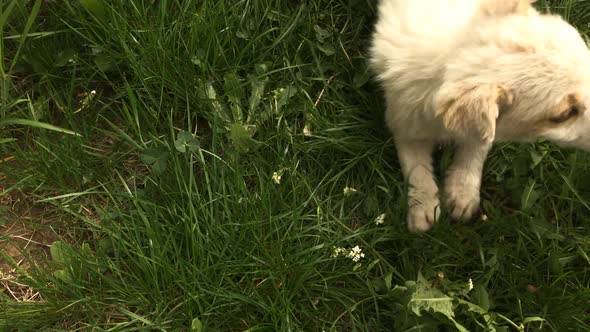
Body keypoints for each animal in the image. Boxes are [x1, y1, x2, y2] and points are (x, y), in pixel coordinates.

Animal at [372, 0, 590, 232]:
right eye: (564, 115)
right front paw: (423, 206)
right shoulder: (405, 124)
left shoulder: (483, 128)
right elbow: (416, 168)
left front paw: (462, 193)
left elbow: (475, 149)